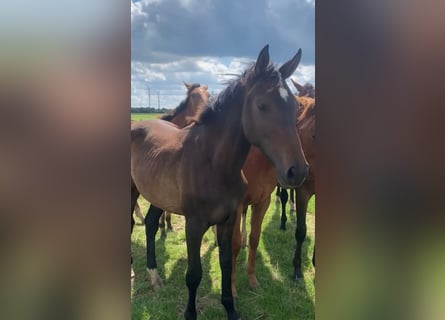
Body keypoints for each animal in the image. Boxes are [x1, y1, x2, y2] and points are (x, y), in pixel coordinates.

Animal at [130, 45, 306, 320]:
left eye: (296, 106)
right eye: (261, 105)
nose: (297, 171)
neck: (213, 164)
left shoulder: (228, 219)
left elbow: (226, 261)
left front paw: (231, 308)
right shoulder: (193, 224)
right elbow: (193, 274)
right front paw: (190, 314)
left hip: (157, 195)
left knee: (149, 224)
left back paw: (155, 277)